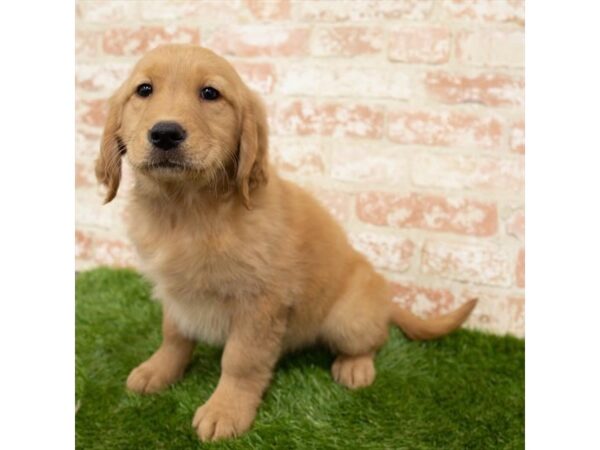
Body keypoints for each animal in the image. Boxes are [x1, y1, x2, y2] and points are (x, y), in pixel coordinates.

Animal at [95, 44, 478, 442]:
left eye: (210, 93)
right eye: (144, 90)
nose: (166, 133)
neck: (186, 209)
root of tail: (385, 300)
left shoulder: (260, 303)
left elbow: (240, 360)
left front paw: (225, 410)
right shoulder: (176, 293)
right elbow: (173, 336)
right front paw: (158, 370)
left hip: (347, 319)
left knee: (374, 339)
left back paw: (355, 367)